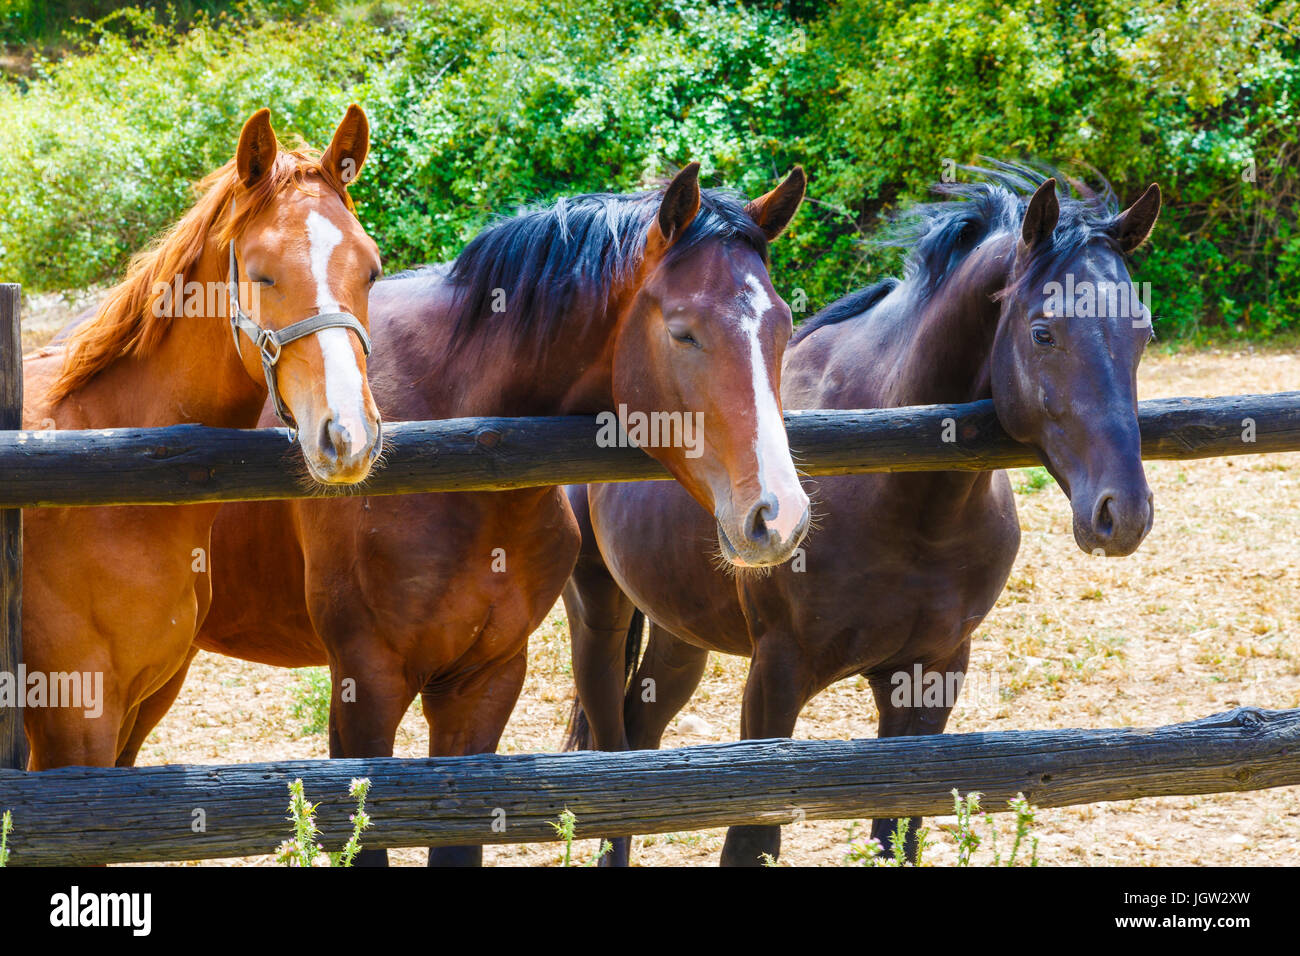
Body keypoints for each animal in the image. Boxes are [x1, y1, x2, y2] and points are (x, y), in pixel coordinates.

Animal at [124, 162, 811, 868]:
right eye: (683, 331)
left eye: (784, 327)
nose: (777, 516)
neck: (460, 448)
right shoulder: (366, 689)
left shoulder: (484, 685)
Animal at [564, 166, 1164, 868]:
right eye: (1044, 332)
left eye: (1143, 334)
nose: (1123, 511)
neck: (908, 504)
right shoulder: (776, 678)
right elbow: (752, 841)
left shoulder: (933, 676)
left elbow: (897, 834)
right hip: (599, 614)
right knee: (611, 750)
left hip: (678, 628)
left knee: (641, 733)